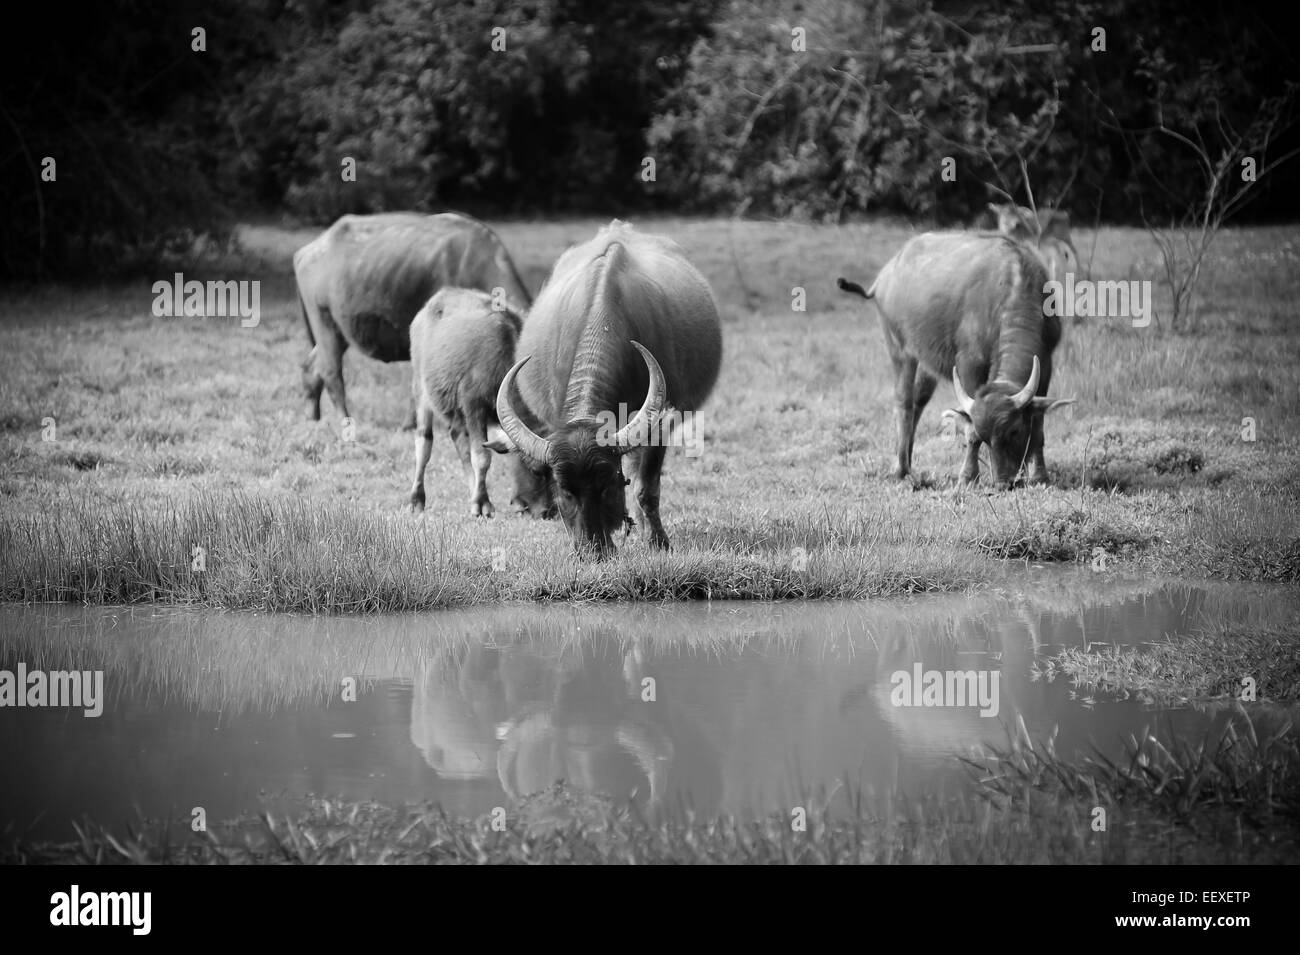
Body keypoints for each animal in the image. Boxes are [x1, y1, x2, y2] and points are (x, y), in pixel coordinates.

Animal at [293, 212, 532, 423]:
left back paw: (312, 417)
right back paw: (345, 422)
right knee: (331, 373)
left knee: (310, 367)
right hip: (324, 320)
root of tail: (308, 251)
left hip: (341, 330)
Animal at [408, 288, 553, 518]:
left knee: (458, 438)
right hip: (421, 390)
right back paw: (417, 499)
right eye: (535, 470)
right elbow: (482, 457)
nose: (548, 511)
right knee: (424, 443)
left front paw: (480, 499)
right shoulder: (473, 406)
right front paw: (482, 504)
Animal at [489, 220, 722, 557]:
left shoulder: (659, 423)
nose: (593, 551)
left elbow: (645, 487)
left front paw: (657, 542)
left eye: (608, 483)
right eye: (564, 490)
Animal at [838, 233, 1074, 487]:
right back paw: (900, 468)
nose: (1003, 482)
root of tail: (885, 276)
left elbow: (1039, 424)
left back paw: (909, 463)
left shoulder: (1046, 361)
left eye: (1015, 431)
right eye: (986, 438)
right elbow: (968, 426)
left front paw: (1040, 475)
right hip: (899, 349)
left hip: (926, 361)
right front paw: (968, 477)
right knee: (904, 402)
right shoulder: (968, 364)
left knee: (919, 401)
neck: (1012, 285)